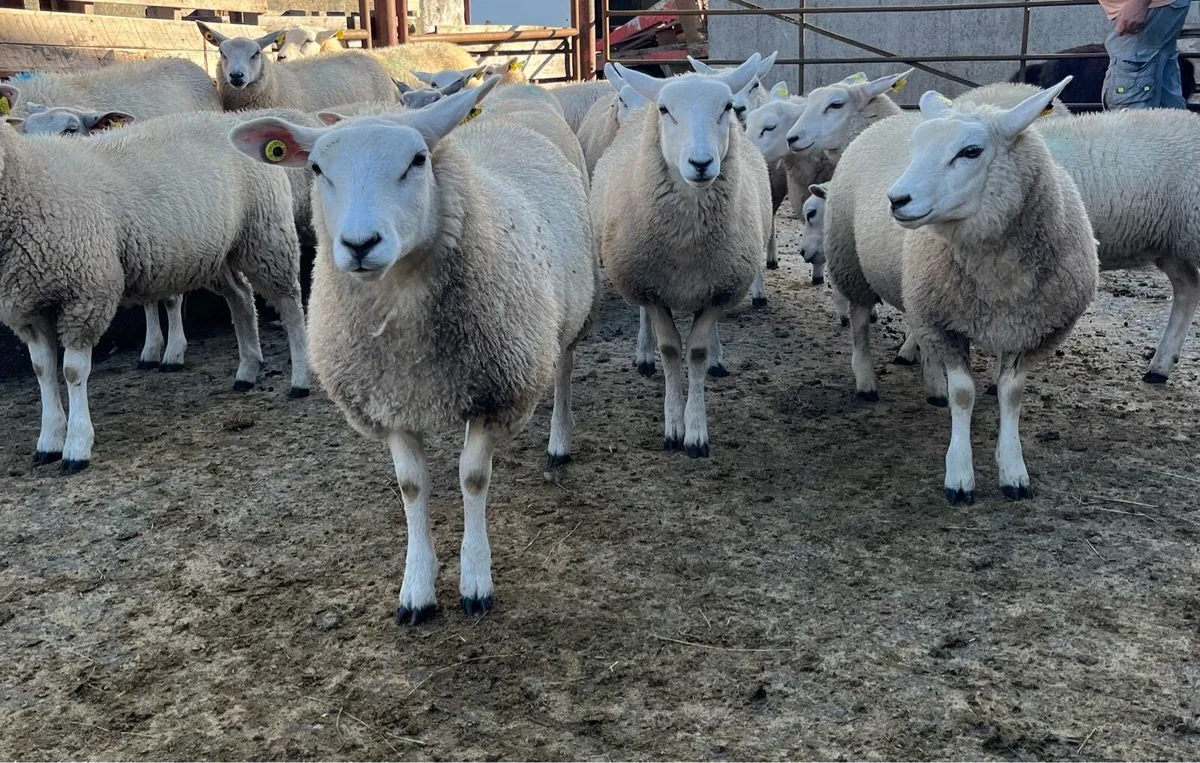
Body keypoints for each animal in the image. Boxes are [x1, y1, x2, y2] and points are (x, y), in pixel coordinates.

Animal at [0, 110, 311, 473]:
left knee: (290, 304)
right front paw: (48, 441)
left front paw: (76, 445)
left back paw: (300, 379)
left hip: (265, 234)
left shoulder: (87, 294)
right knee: (242, 298)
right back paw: (247, 370)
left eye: (70, 128)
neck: (29, 179)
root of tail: (232, 120)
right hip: (215, 253)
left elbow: (72, 372)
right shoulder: (28, 307)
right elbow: (43, 371)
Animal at [229, 75, 599, 624]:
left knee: (563, 370)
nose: (360, 244)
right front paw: (417, 588)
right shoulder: (389, 402)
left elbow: (473, 478)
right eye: (317, 169)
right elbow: (412, 486)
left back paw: (560, 439)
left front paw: (475, 579)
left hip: (567, 315)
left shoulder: (496, 392)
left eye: (417, 161)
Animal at [592, 56, 773, 457]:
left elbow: (698, 353)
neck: (687, 242)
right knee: (644, 320)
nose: (701, 163)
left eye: (725, 107)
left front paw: (696, 430)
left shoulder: (720, 287)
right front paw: (673, 426)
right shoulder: (651, 288)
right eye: (665, 110)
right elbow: (671, 350)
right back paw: (644, 356)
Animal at [881, 81, 1097, 503]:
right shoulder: (944, 323)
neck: (999, 281)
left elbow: (1011, 394)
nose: (897, 199)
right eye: (916, 146)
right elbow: (963, 394)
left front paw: (1012, 469)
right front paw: (959, 475)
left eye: (971, 151)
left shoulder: (1033, 331)